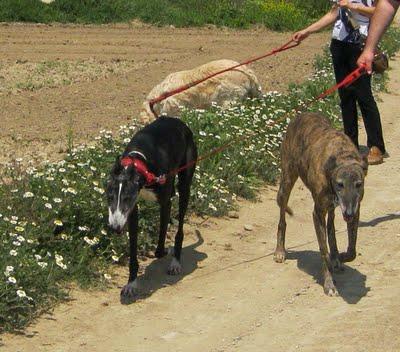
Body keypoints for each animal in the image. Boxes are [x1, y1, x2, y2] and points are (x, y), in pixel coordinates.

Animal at [274, 112, 368, 296]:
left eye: (358, 184)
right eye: (340, 184)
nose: (348, 214)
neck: (342, 156)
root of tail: (300, 115)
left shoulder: (356, 208)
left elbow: (352, 249)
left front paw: (340, 257)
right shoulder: (317, 213)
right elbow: (323, 250)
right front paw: (329, 283)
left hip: (331, 207)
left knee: (331, 226)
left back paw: (336, 255)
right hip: (287, 181)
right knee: (282, 217)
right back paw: (280, 250)